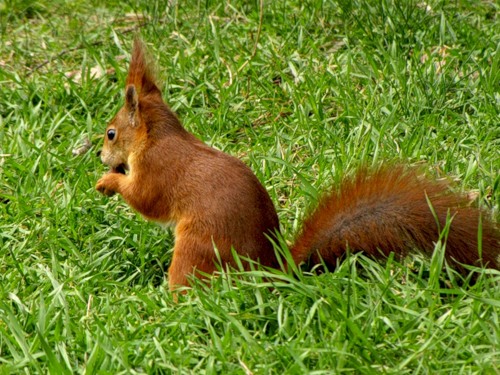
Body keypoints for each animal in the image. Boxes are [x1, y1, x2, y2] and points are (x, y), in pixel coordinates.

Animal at [95, 39, 498, 290]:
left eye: (111, 133)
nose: (100, 155)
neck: (157, 136)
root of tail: (273, 269)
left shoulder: (158, 169)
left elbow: (146, 200)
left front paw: (107, 182)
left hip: (196, 249)